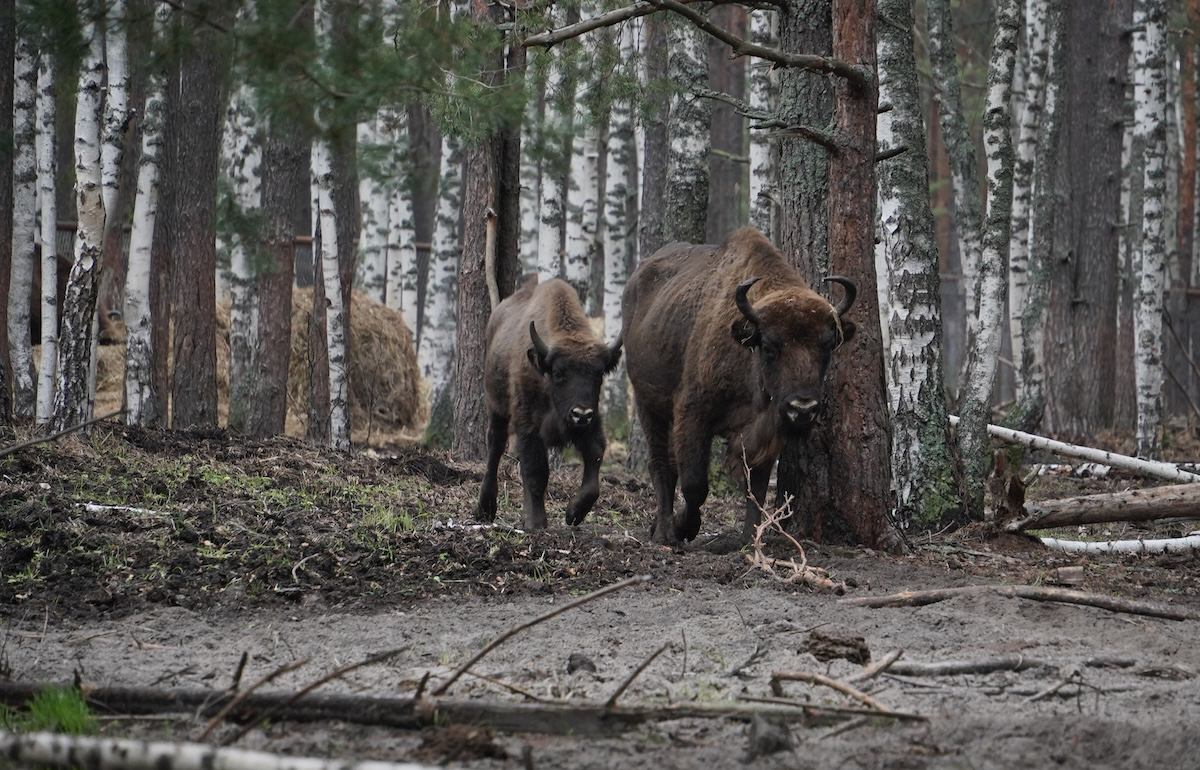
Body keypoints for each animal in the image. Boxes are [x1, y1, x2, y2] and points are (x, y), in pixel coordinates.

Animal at [472, 273, 624, 530]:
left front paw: (573, 514)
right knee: (495, 448)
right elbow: (536, 471)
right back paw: (485, 509)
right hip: (496, 408)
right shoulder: (528, 425)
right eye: (558, 373)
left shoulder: (592, 424)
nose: (581, 414)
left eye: (598, 374)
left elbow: (595, 462)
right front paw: (536, 522)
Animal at [624, 225, 859, 542]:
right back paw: (664, 532)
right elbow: (695, 485)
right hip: (647, 403)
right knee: (661, 465)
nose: (803, 408)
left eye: (826, 346)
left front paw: (749, 538)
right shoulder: (692, 415)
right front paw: (686, 527)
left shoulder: (763, 431)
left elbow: (755, 488)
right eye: (769, 345)